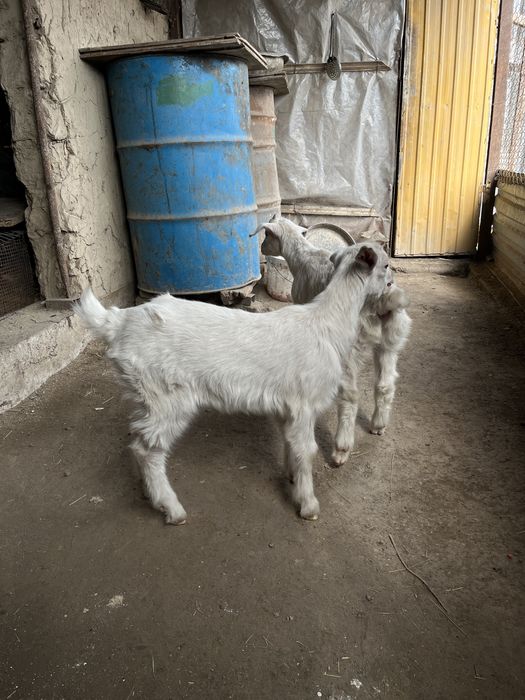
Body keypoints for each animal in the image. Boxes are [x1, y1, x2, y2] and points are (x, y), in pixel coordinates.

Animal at [75, 242, 391, 525]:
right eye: (386, 265)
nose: (391, 284)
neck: (326, 323)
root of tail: (117, 323)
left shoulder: (286, 406)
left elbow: (291, 444)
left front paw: (291, 478)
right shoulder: (304, 404)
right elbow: (306, 450)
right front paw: (308, 505)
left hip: (144, 394)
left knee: (137, 442)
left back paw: (149, 493)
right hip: (165, 395)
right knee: (148, 449)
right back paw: (172, 509)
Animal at [260, 217, 412, 466]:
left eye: (266, 235)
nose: (262, 249)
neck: (303, 258)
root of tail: (380, 302)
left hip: (351, 348)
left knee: (350, 397)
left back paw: (341, 449)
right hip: (392, 337)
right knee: (385, 385)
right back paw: (379, 425)